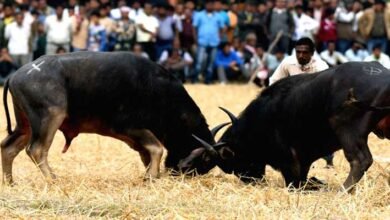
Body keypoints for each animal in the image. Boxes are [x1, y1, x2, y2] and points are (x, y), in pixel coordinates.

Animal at [1, 51, 218, 184]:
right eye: (205, 161)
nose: (183, 173)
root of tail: (15, 75)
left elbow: (148, 154)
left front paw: (151, 175)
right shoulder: (128, 127)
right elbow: (157, 148)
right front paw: (151, 177)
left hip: (25, 125)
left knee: (8, 147)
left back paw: (10, 182)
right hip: (50, 117)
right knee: (36, 150)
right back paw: (53, 180)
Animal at [181, 61, 390, 192]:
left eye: (232, 162)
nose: (252, 180)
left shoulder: (290, 161)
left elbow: (296, 183)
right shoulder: (303, 160)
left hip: (345, 128)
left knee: (360, 160)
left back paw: (342, 190)